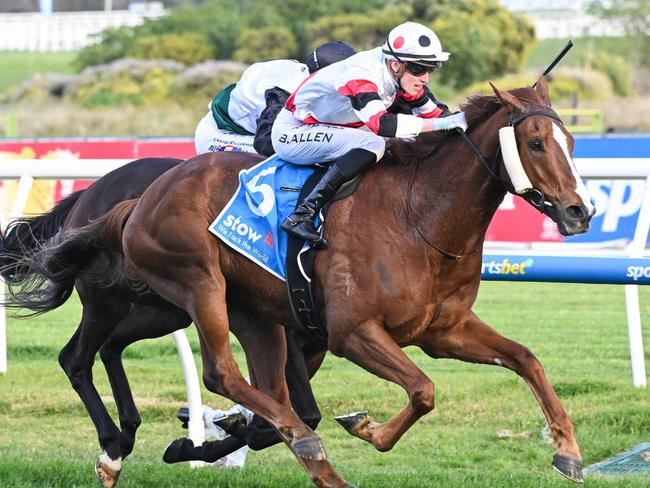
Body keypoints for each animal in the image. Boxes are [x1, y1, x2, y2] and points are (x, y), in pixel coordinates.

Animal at [13, 78, 592, 486]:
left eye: (570, 139)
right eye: (535, 143)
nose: (579, 211)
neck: (420, 217)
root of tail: (134, 200)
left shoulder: (442, 330)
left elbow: (525, 358)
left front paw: (567, 451)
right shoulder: (351, 333)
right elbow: (423, 391)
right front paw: (363, 426)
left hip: (221, 312)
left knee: (131, 356)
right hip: (192, 286)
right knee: (199, 369)